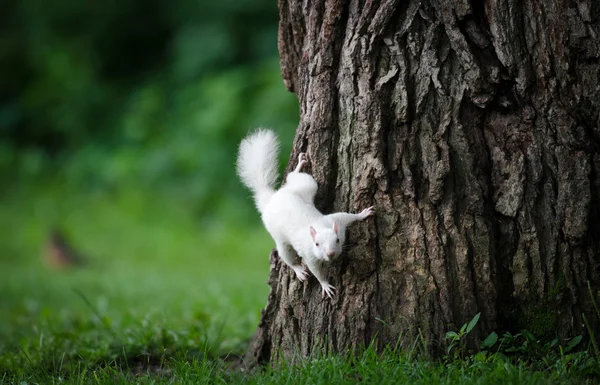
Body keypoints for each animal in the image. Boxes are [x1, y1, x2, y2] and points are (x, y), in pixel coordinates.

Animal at [236, 128, 372, 296]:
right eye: (317, 244)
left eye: (337, 240)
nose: (330, 254)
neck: (320, 228)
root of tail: (271, 200)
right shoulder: (310, 255)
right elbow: (316, 272)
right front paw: (325, 285)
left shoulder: (336, 221)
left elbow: (347, 216)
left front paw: (363, 214)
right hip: (280, 238)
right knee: (285, 255)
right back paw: (297, 269)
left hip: (307, 185)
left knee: (293, 177)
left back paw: (300, 164)